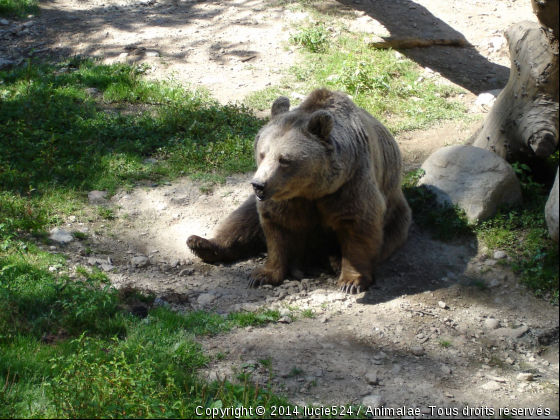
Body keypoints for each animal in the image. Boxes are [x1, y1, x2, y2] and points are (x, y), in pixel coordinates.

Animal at [188, 88, 412, 294]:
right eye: (262, 153)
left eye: (284, 159)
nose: (258, 184)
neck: (312, 190)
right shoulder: (286, 198)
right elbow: (278, 228)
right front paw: (262, 275)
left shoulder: (350, 183)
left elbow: (359, 224)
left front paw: (351, 281)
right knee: (242, 219)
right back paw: (201, 244)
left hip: (397, 212)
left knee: (388, 235)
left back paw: (335, 260)